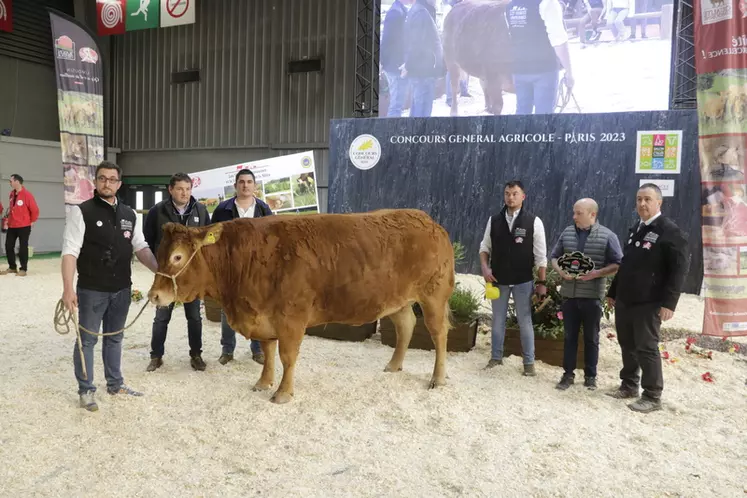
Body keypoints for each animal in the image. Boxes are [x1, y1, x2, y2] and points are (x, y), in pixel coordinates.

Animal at [148, 208, 456, 402]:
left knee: (438, 333)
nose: (154, 296)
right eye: (158, 253)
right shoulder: (264, 317)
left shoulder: (291, 317)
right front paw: (263, 383)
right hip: (398, 300)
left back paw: (438, 378)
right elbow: (268, 353)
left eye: (177, 257)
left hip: (434, 294)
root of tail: (429, 221)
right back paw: (393, 366)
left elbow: (287, 356)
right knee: (406, 326)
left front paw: (283, 393)